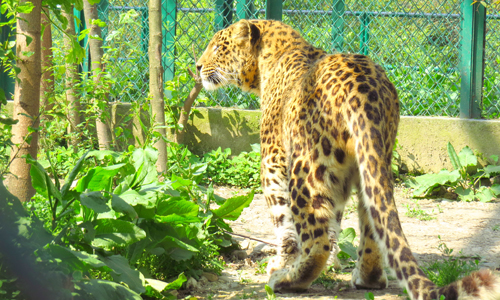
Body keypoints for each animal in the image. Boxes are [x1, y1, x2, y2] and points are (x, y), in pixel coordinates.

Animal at [195, 19, 500, 300]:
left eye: (217, 47)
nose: (197, 67)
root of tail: (363, 89)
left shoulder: (273, 160)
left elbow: (285, 224)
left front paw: (281, 263)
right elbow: (334, 223)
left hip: (306, 167)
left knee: (316, 238)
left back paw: (288, 280)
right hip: (371, 163)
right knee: (372, 223)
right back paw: (367, 278)